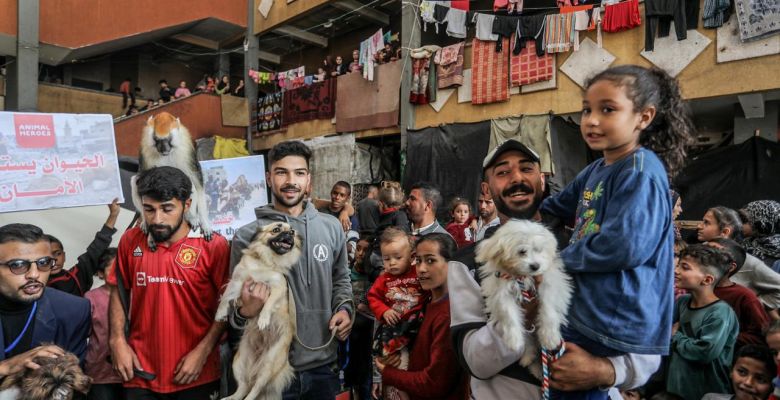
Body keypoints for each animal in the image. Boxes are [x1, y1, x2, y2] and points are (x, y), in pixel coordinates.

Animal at [133, 112, 212, 250]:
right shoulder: (145, 148)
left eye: (168, 139)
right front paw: (151, 235)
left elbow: (197, 182)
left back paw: (192, 217)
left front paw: (205, 223)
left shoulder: (186, 148)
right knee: (134, 181)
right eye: (157, 140)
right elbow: (140, 183)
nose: (163, 149)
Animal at [216, 222, 302, 400]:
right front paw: (220, 314)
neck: (266, 262)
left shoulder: (278, 287)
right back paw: (230, 398)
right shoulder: (237, 280)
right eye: (277, 230)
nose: (289, 234)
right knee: (243, 388)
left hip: (268, 367)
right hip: (238, 362)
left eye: (292, 231)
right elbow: (226, 297)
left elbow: (268, 304)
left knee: (254, 389)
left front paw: (263, 319)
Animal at [476, 219, 572, 378]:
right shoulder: (501, 292)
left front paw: (550, 337)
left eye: (539, 250)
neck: (522, 277)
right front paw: (514, 340)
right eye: (522, 252)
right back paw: (529, 359)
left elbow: (549, 309)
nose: (535, 266)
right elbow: (508, 315)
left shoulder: (549, 284)